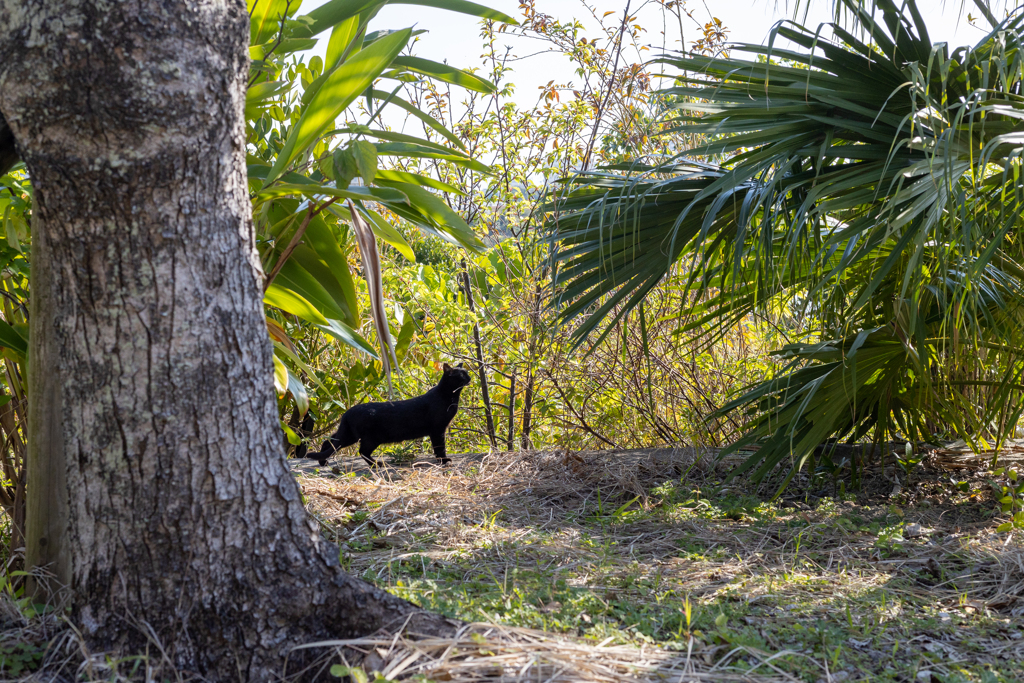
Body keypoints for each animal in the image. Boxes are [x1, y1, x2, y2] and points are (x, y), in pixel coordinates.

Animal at [311, 362, 471, 471]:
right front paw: (444, 460)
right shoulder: (438, 429)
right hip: (371, 438)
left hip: (350, 435)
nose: (470, 377)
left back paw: (323, 462)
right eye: (461, 375)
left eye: (467, 372)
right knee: (362, 451)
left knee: (329, 441)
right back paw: (378, 464)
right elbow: (440, 446)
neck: (451, 397)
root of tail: (347, 413)